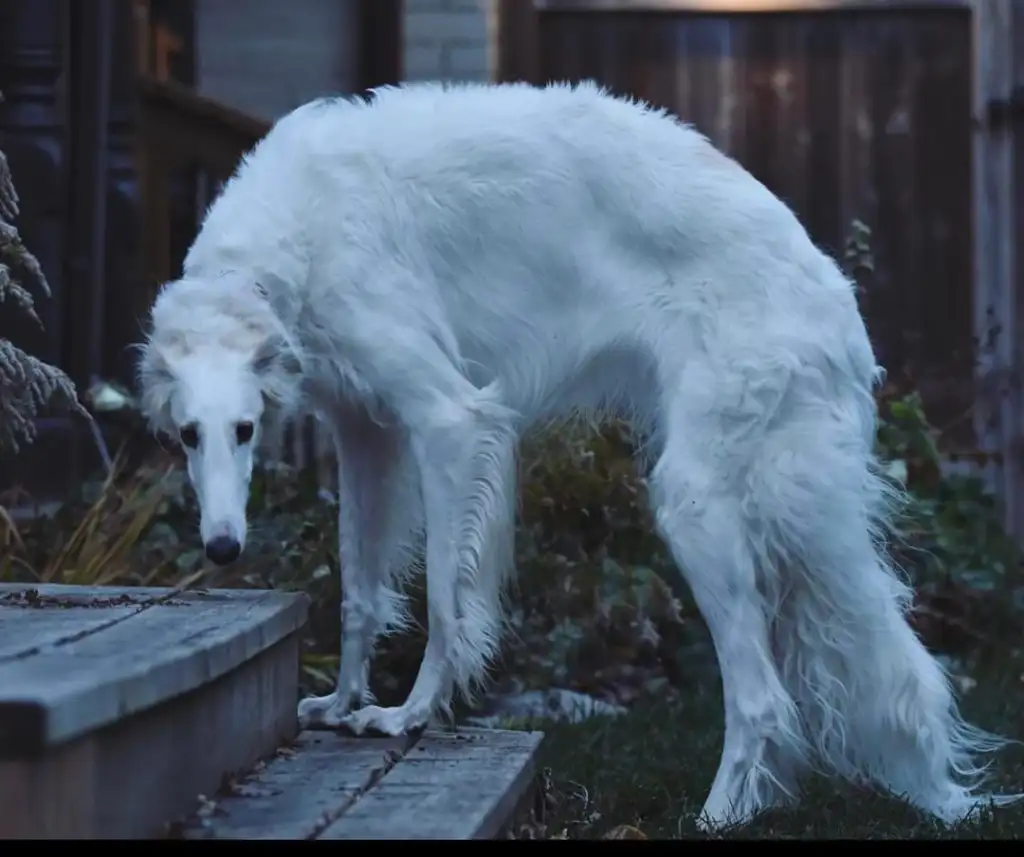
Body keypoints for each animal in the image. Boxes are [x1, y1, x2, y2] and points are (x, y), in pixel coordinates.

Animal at [136, 81, 1015, 827]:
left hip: (699, 501)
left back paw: (718, 814)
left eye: (245, 430)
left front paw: (412, 712)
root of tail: (837, 300)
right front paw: (342, 700)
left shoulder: (451, 418)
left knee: (763, 699)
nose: (222, 549)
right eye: (188, 435)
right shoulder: (366, 430)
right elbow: (359, 590)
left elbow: (448, 605)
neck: (296, 224)